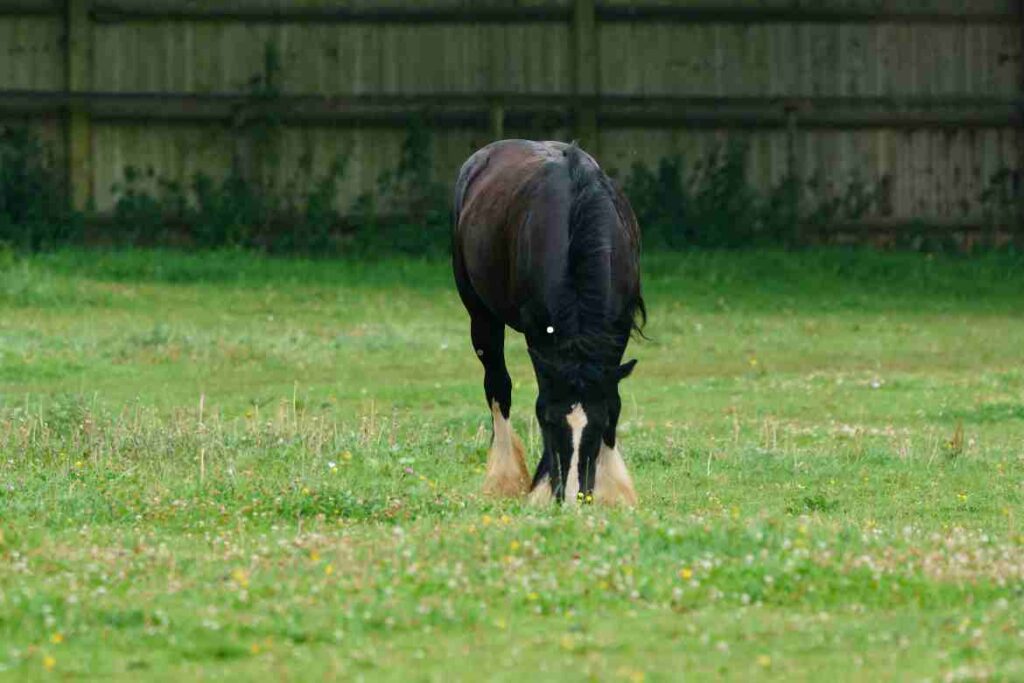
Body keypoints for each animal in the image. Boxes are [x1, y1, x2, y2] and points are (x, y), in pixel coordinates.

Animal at [452, 139, 643, 505]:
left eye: (599, 426)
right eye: (549, 424)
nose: (570, 498)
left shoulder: (618, 328)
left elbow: (612, 396)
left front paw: (612, 488)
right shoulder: (538, 332)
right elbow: (541, 392)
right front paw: (541, 486)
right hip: (480, 316)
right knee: (497, 385)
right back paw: (505, 477)